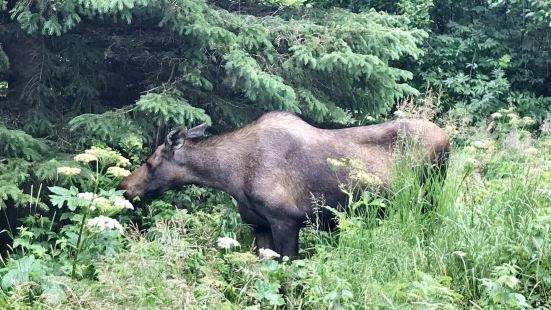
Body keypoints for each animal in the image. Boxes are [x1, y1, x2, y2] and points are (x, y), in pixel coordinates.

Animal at [118, 111, 450, 260]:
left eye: (150, 162)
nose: (125, 186)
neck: (231, 176)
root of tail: (449, 140)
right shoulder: (259, 226)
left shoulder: (286, 220)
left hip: (427, 198)